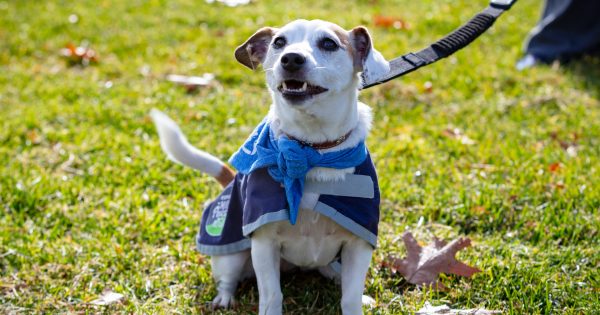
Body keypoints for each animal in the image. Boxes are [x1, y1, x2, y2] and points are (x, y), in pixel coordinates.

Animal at [151, 19, 390, 315]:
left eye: (329, 43)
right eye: (279, 42)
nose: (291, 58)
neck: (310, 150)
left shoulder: (358, 243)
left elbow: (350, 297)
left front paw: (356, 300)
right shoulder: (264, 244)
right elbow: (271, 294)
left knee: (333, 272)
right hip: (230, 252)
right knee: (227, 277)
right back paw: (225, 298)